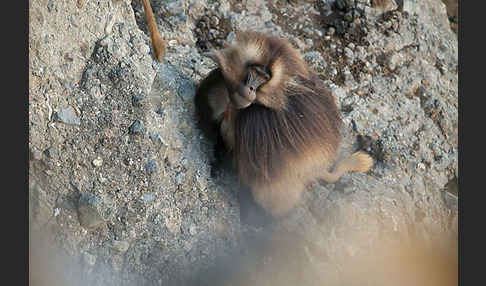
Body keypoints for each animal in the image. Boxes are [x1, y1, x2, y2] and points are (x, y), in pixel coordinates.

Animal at [194, 30, 372, 217]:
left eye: (264, 78)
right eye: (253, 71)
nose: (250, 89)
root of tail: (316, 168)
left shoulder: (255, 124)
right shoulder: (220, 85)